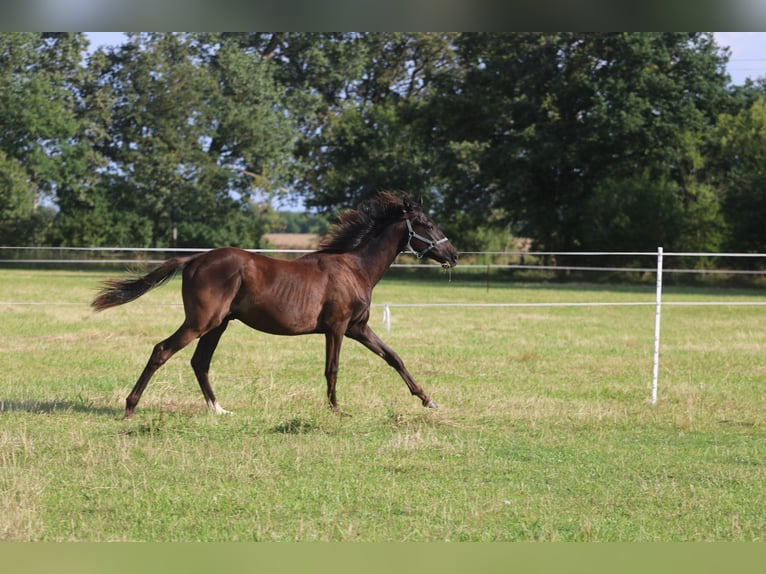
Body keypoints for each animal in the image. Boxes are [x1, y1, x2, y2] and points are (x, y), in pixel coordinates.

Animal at [93, 191, 460, 420]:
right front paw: (336, 410)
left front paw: (428, 400)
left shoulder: (359, 328)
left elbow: (394, 357)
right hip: (201, 322)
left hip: (218, 324)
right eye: (428, 225)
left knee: (200, 362)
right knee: (162, 350)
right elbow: (332, 368)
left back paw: (219, 409)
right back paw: (130, 407)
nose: (454, 254)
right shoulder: (338, 328)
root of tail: (194, 259)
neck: (355, 269)